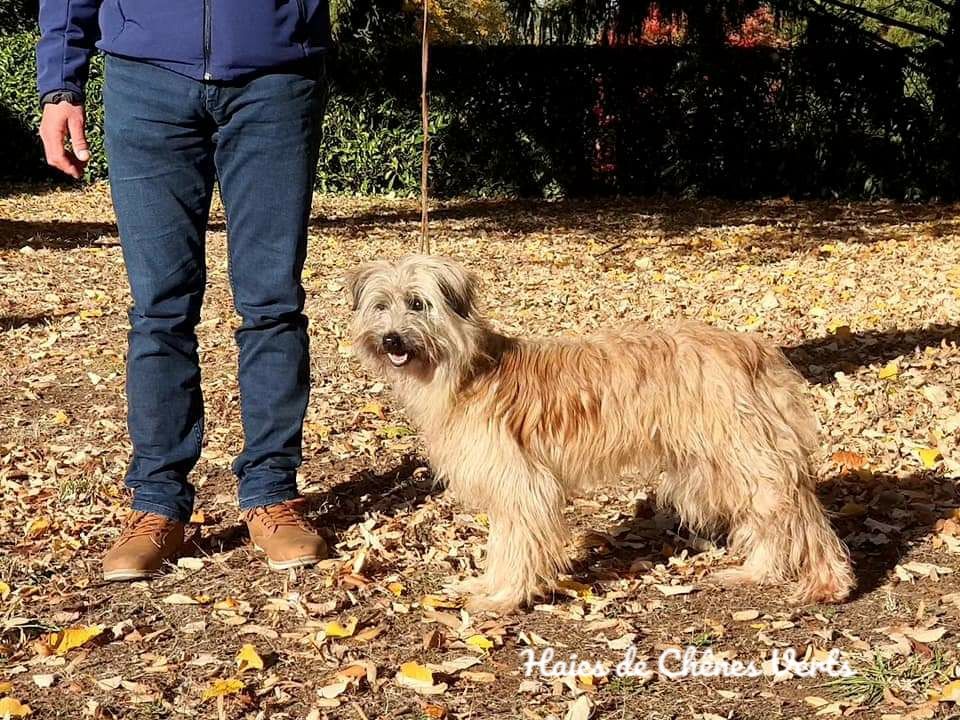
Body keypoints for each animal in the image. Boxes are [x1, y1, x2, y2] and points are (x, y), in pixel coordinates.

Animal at [346, 256, 856, 612]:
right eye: (381, 305)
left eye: (418, 303)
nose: (391, 339)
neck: (467, 370)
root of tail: (753, 347)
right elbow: (501, 543)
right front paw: (487, 584)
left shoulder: (522, 484)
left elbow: (514, 544)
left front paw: (504, 598)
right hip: (722, 463)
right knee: (766, 517)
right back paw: (756, 571)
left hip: (745, 453)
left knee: (801, 515)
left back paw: (828, 584)